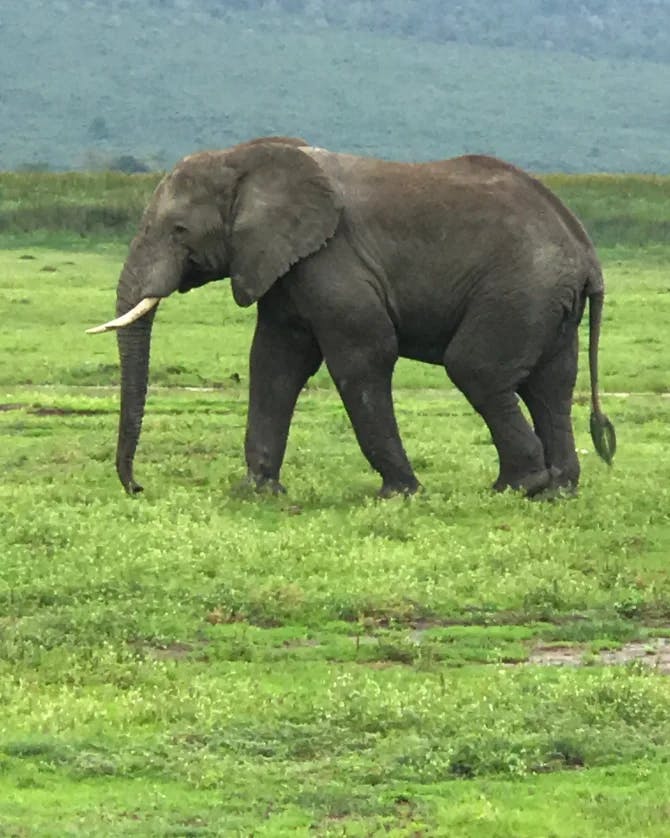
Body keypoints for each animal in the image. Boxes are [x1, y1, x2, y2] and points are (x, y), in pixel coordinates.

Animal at [86, 133, 616, 498]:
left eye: (179, 230)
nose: (137, 488)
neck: (246, 157)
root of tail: (587, 254)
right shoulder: (285, 266)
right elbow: (275, 362)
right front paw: (257, 493)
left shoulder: (332, 258)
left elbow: (362, 358)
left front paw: (399, 494)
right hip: (548, 302)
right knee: (550, 384)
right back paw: (557, 489)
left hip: (519, 289)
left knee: (476, 369)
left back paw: (518, 486)